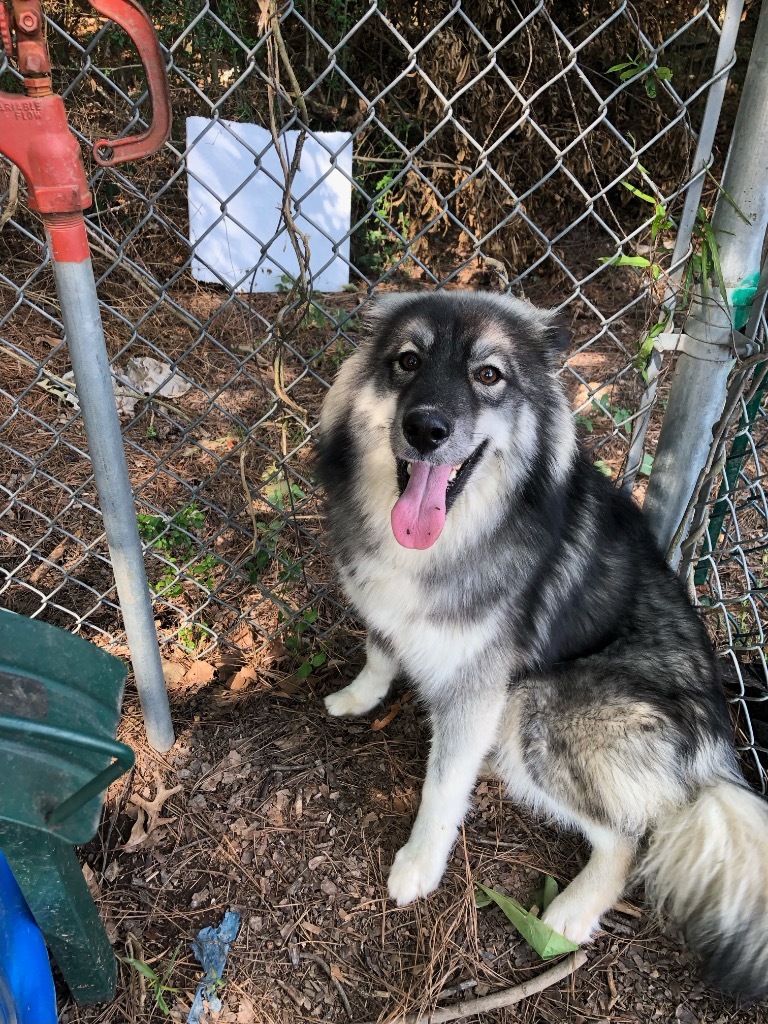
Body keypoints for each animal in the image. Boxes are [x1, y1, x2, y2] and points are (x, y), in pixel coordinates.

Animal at [313, 292, 768, 995]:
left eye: (489, 375)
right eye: (407, 361)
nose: (426, 429)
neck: (450, 538)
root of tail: (714, 753)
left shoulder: (479, 689)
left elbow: (441, 790)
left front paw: (418, 866)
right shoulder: (386, 611)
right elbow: (380, 648)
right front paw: (357, 696)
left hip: (535, 714)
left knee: (631, 838)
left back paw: (571, 911)